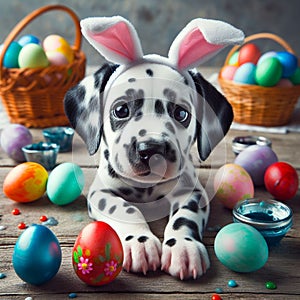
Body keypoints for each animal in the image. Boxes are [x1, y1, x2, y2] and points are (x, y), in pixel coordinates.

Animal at [65, 15, 244, 278]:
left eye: (181, 113)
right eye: (121, 110)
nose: (150, 149)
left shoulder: (191, 191)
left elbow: (184, 216)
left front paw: (183, 247)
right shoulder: (101, 193)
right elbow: (124, 208)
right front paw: (139, 242)